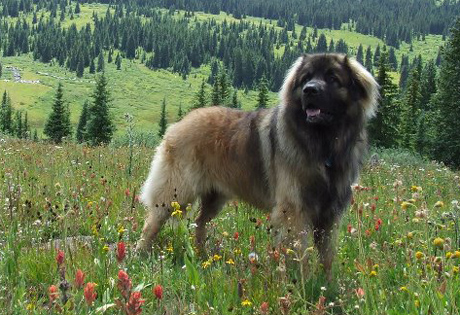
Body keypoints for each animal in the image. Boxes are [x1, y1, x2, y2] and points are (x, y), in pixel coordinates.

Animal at [137, 54, 378, 278]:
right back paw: (140, 254)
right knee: (153, 221)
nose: (309, 90)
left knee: (199, 223)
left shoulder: (329, 213)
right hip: (176, 191)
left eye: (332, 78)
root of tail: (178, 124)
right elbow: (299, 250)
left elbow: (327, 255)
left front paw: (326, 284)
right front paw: (300, 281)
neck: (323, 143)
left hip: (215, 196)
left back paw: (202, 256)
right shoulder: (294, 209)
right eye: (306, 78)